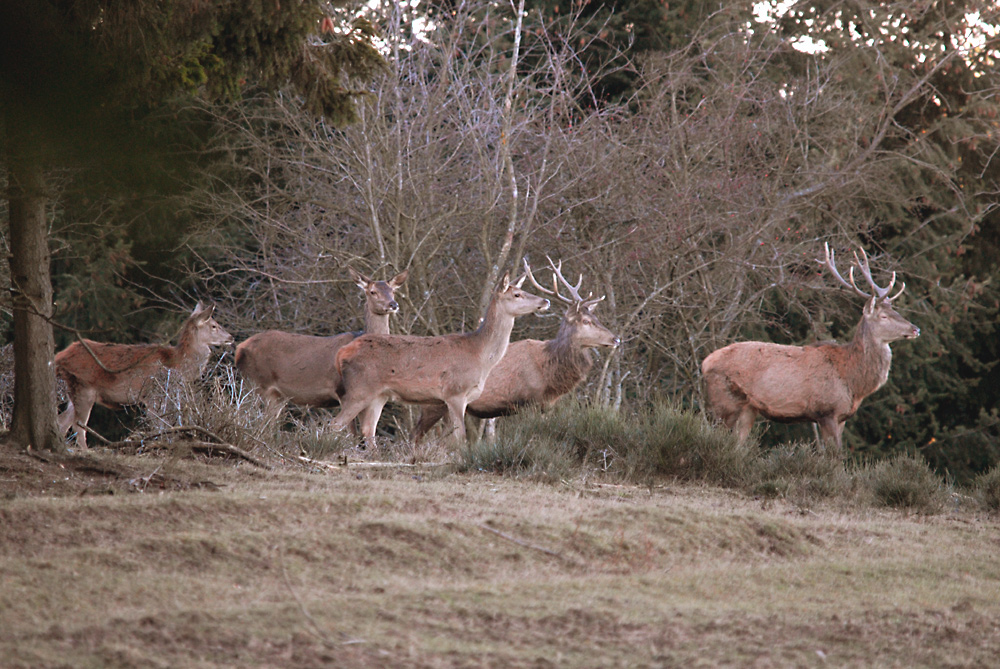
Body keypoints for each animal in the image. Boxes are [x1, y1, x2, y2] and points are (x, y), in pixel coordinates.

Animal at [58, 302, 236, 448]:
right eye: (214, 325)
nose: (231, 337)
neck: (177, 365)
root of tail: (59, 356)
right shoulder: (152, 394)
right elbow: (158, 424)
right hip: (83, 388)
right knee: (77, 425)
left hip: (74, 391)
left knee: (63, 421)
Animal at [234, 268, 406, 418]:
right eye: (372, 291)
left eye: (393, 291)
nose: (393, 304)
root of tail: (239, 348)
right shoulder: (343, 391)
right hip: (254, 382)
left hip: (275, 395)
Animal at [330, 266, 552, 444]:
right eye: (517, 295)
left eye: (522, 290)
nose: (545, 300)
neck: (479, 355)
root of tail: (341, 353)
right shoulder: (454, 392)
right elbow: (460, 438)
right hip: (360, 388)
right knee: (335, 424)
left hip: (379, 394)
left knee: (368, 429)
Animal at [412, 258, 616, 440]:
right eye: (586, 321)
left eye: (596, 318)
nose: (616, 338)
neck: (549, 375)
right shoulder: (528, 401)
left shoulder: (546, 406)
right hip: (433, 402)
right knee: (417, 434)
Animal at [700, 243, 916, 452]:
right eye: (884, 316)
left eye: (895, 311)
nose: (915, 328)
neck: (853, 380)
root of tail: (704, 363)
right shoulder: (826, 411)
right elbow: (834, 456)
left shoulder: (842, 417)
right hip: (723, 402)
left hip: (747, 409)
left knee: (737, 445)